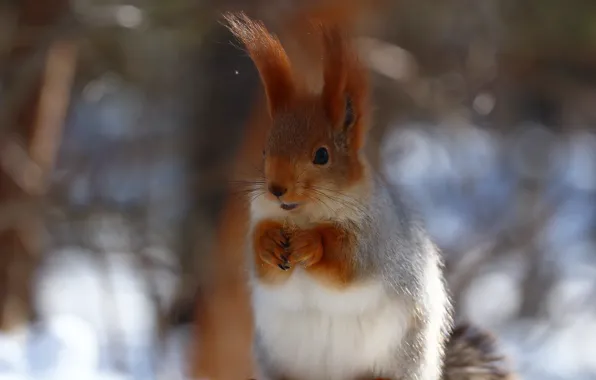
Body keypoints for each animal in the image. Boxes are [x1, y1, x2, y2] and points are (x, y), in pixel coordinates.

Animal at [220, 11, 516, 380]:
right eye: (264, 150)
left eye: (322, 155)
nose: (276, 189)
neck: (302, 215)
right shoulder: (261, 217)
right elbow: (264, 268)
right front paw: (269, 241)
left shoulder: (376, 239)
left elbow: (348, 262)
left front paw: (311, 244)